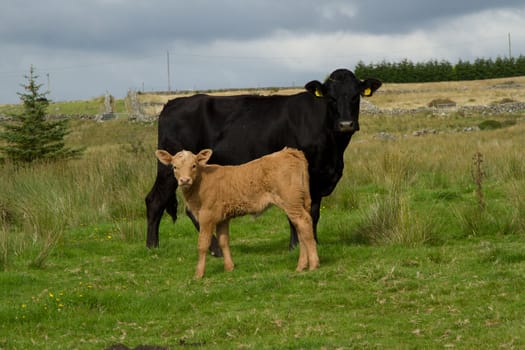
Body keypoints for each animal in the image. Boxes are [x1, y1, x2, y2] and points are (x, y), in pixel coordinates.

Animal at [145, 69, 378, 254]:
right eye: (331, 97)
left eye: (356, 96)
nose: (346, 124)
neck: (333, 151)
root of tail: (173, 103)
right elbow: (296, 212)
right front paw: (296, 246)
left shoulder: (319, 177)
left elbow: (314, 212)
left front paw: (313, 242)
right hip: (169, 169)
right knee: (155, 200)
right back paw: (154, 247)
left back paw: (212, 249)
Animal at [155, 146, 320, 278]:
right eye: (174, 167)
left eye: (194, 165)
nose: (184, 180)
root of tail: (289, 151)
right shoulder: (222, 218)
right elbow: (223, 241)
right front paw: (229, 268)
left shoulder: (206, 216)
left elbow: (203, 244)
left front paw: (198, 274)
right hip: (299, 202)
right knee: (301, 228)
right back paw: (301, 266)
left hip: (291, 202)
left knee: (304, 222)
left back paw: (313, 265)